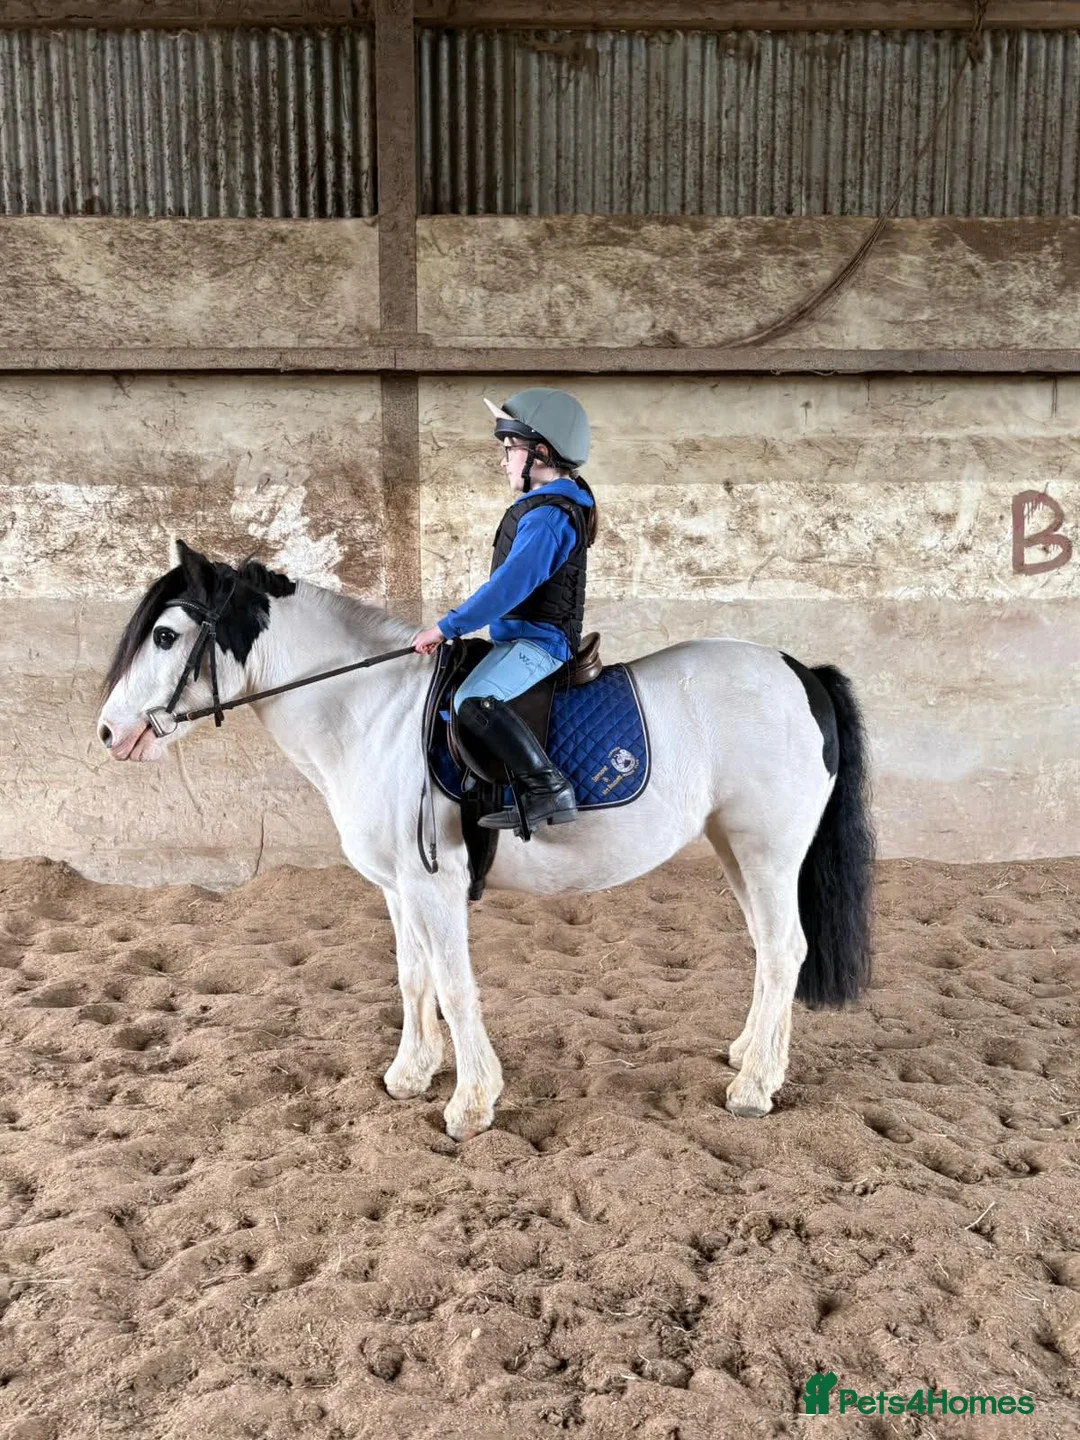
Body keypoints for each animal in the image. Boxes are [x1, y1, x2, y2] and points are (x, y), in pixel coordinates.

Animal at [96, 540, 875, 1141]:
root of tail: (800, 671)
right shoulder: (398, 887)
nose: (109, 733)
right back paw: (751, 1056)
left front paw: (470, 1104)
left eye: (165, 636)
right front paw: (410, 1074)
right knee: (770, 952)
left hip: (768, 849)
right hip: (736, 849)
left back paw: (754, 1088)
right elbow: (412, 976)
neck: (371, 713)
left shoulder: (433, 883)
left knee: (785, 949)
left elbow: (454, 983)